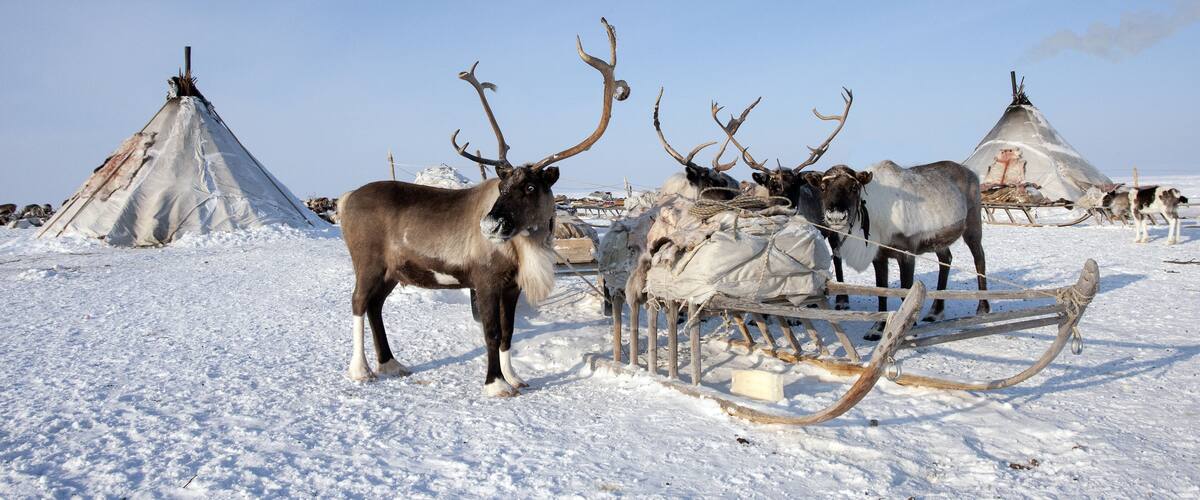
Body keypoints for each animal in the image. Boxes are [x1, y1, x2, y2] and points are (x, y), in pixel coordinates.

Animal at [339, 18, 629, 397]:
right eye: (503, 187)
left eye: (530, 186)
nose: (490, 226)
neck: (525, 248)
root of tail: (346, 199)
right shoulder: (485, 281)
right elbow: (491, 332)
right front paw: (496, 384)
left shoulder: (512, 286)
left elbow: (508, 334)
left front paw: (515, 377)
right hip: (368, 262)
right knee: (358, 302)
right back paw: (360, 370)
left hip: (392, 271)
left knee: (375, 306)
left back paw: (390, 364)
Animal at [713, 89, 855, 310]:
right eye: (773, 185)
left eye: (795, 185)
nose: (786, 206)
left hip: (832, 227)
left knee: (837, 257)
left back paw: (842, 300)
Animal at [801, 161, 989, 340]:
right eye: (823, 187)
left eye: (854, 187)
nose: (836, 216)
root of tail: (971, 172)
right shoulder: (879, 255)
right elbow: (881, 289)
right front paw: (877, 329)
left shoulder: (906, 252)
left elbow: (906, 290)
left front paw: (909, 329)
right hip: (940, 241)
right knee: (946, 260)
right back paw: (935, 312)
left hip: (973, 224)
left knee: (979, 258)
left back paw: (983, 307)